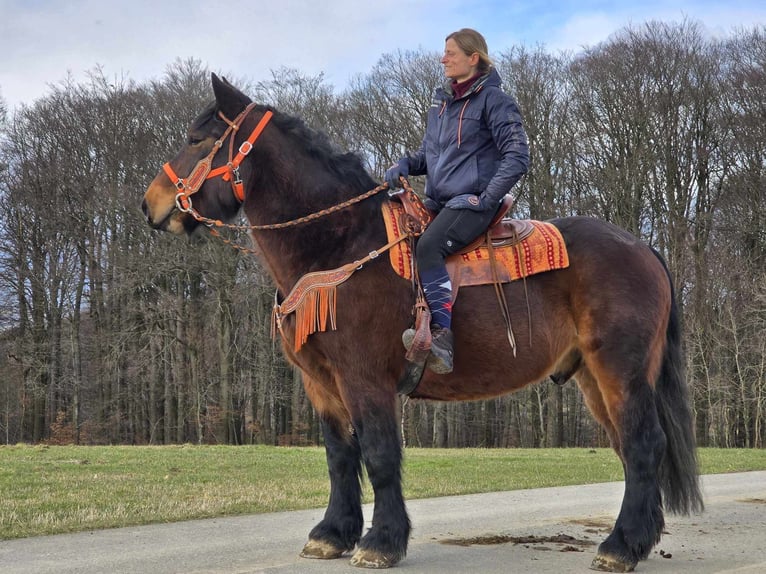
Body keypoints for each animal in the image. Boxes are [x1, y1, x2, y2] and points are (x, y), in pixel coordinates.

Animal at [141, 74, 704, 572]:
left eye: (197, 139)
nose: (151, 204)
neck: (340, 244)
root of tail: (641, 247)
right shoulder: (321, 383)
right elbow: (339, 456)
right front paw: (333, 534)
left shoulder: (365, 379)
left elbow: (379, 455)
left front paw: (381, 542)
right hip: (594, 377)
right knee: (630, 449)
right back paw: (637, 539)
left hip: (620, 372)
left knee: (643, 446)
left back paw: (621, 547)